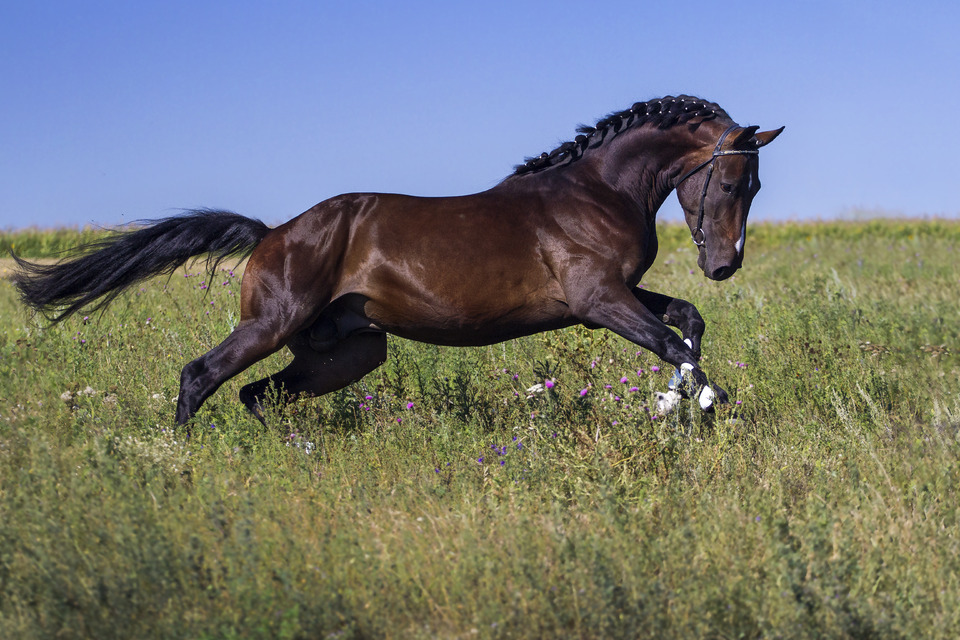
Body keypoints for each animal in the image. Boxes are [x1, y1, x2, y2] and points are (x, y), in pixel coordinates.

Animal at [15, 95, 780, 424]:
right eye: (734, 183)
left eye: (754, 187)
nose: (725, 265)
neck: (594, 190)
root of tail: (272, 233)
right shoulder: (599, 301)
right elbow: (674, 342)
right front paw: (697, 401)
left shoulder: (612, 298)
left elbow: (688, 322)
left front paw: (679, 400)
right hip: (272, 326)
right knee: (200, 377)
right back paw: (184, 462)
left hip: (348, 351)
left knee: (258, 395)